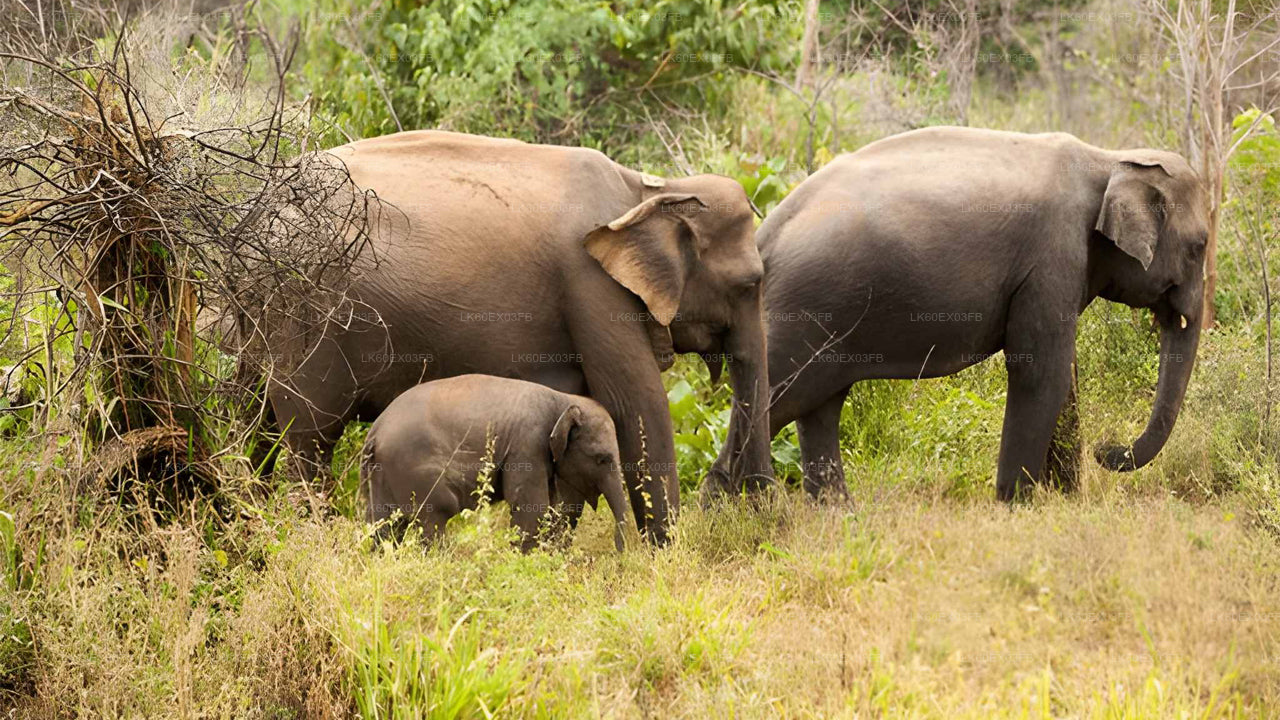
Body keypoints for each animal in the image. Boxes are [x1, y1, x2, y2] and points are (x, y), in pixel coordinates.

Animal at [362, 375, 630, 551]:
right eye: (602, 459)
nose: (619, 551)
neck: (562, 400)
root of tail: (375, 431)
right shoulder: (527, 445)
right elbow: (533, 509)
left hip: (382, 474)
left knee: (384, 525)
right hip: (416, 472)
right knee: (436, 513)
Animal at [707, 126, 1208, 501]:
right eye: (1199, 246)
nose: (1107, 451)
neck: (1109, 157)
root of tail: (766, 234)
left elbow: (1063, 376)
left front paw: (1062, 501)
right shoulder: (1052, 256)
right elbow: (1039, 371)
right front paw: (1017, 505)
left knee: (818, 406)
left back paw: (830, 515)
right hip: (804, 308)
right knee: (778, 398)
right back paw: (733, 513)